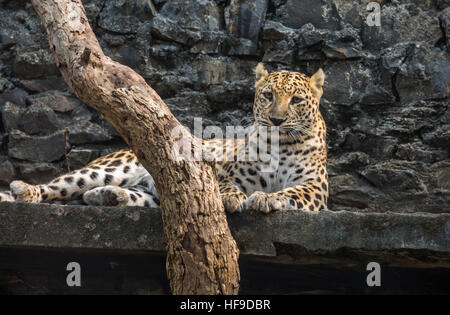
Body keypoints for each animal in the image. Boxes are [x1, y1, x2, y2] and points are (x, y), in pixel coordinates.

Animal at [0, 63, 330, 214]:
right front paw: (230, 197)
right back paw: (23, 190)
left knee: (110, 195)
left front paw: (265, 198)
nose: (276, 120)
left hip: (154, 192)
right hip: (109, 168)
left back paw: (109, 196)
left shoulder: (315, 188)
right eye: (268, 95)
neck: (280, 144)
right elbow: (225, 184)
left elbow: (291, 192)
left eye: (296, 100)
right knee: (61, 185)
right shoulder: (228, 173)